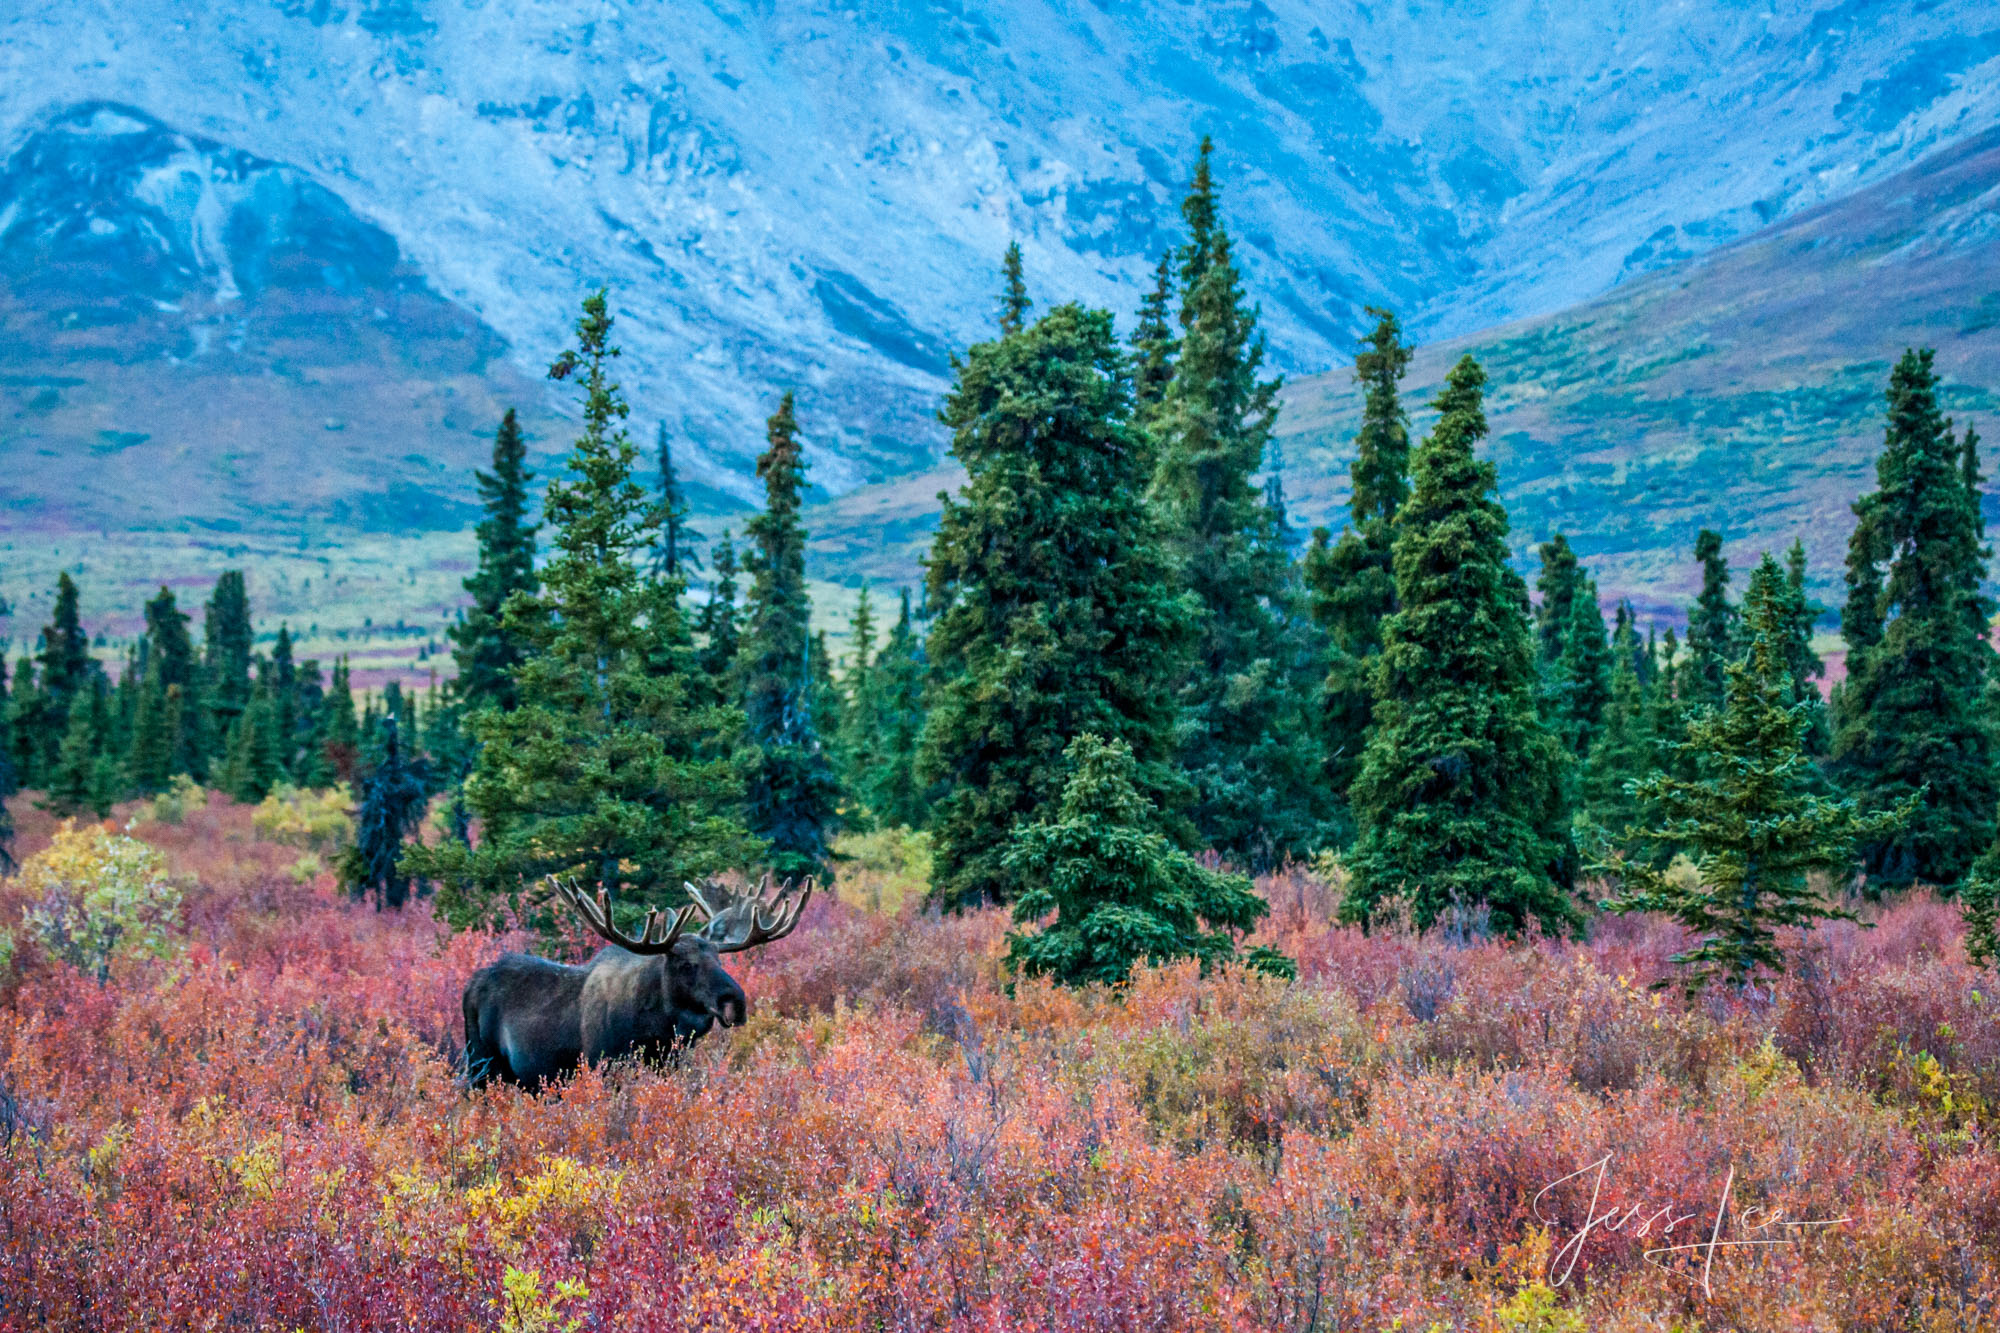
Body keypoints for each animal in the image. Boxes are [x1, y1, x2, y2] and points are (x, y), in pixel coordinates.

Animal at [460, 872, 812, 1080]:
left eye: (720, 960)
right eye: (686, 965)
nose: (735, 1002)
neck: (656, 1029)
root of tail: (471, 985)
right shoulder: (601, 1065)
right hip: (480, 1064)